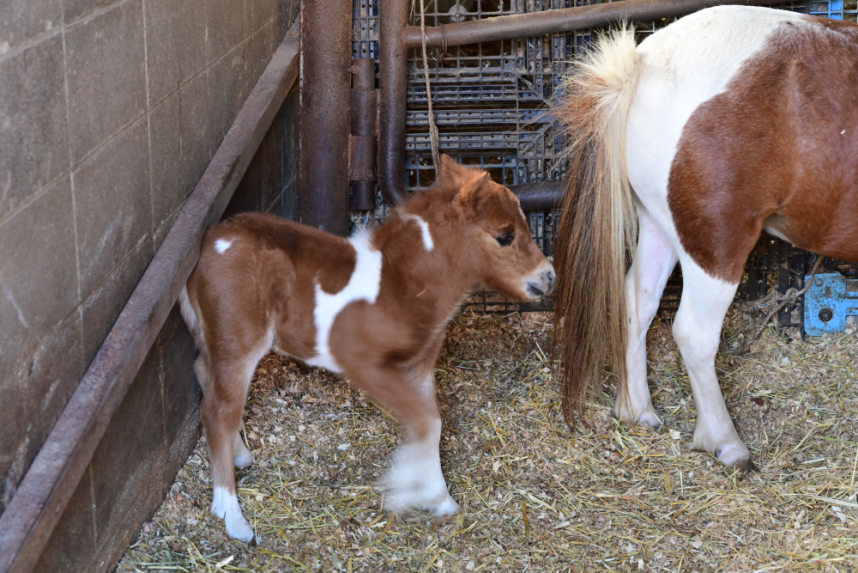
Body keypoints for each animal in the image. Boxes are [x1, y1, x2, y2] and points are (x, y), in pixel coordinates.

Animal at [181, 154, 556, 540]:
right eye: (504, 236)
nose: (549, 278)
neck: (399, 284)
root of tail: (208, 241)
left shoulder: (419, 365)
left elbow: (432, 423)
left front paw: (440, 498)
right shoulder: (363, 363)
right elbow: (423, 421)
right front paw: (403, 492)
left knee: (206, 376)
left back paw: (239, 456)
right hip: (239, 340)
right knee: (218, 412)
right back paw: (232, 516)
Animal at [556, 5, 856, 470]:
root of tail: (644, 63)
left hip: (660, 225)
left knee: (636, 303)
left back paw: (638, 408)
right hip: (715, 243)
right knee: (693, 333)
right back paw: (726, 442)